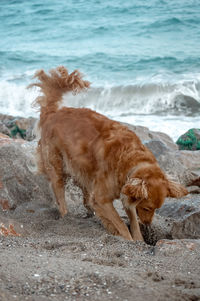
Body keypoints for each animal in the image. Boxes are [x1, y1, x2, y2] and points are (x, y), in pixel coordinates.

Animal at [29, 67, 188, 240]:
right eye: (147, 208)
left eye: (156, 209)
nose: (148, 224)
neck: (130, 159)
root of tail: (53, 113)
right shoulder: (102, 199)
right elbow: (120, 224)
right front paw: (127, 238)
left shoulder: (127, 195)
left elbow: (132, 221)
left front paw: (138, 239)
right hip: (57, 167)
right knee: (60, 195)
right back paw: (66, 216)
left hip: (82, 168)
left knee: (86, 194)